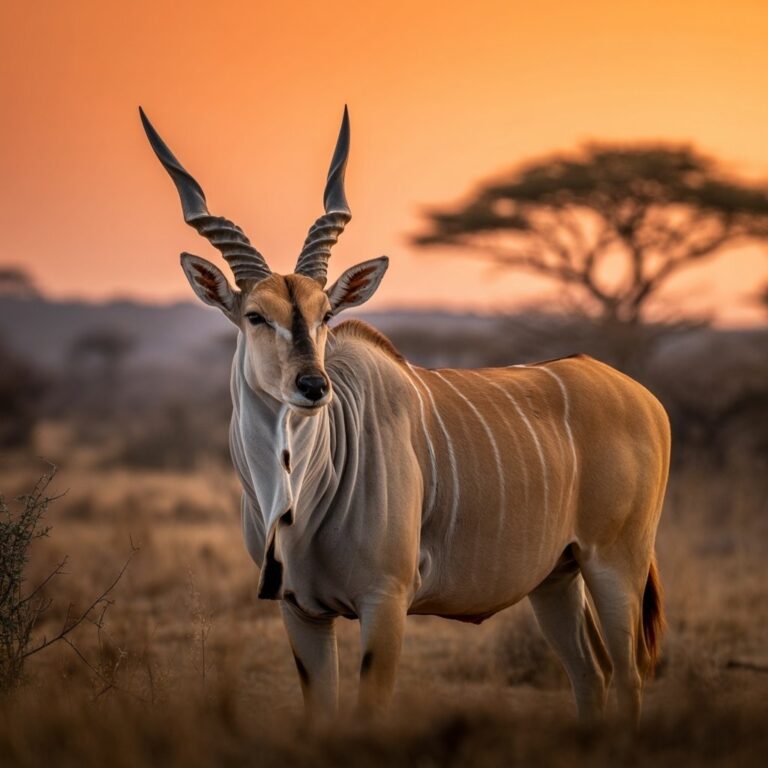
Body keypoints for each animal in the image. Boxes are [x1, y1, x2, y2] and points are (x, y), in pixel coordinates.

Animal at [140, 106, 670, 724]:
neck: (300, 496)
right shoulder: (300, 610)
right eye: (255, 315)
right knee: (593, 674)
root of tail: (642, 398)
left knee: (629, 676)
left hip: (615, 565)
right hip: (556, 579)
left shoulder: (385, 602)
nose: (313, 385)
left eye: (325, 314)